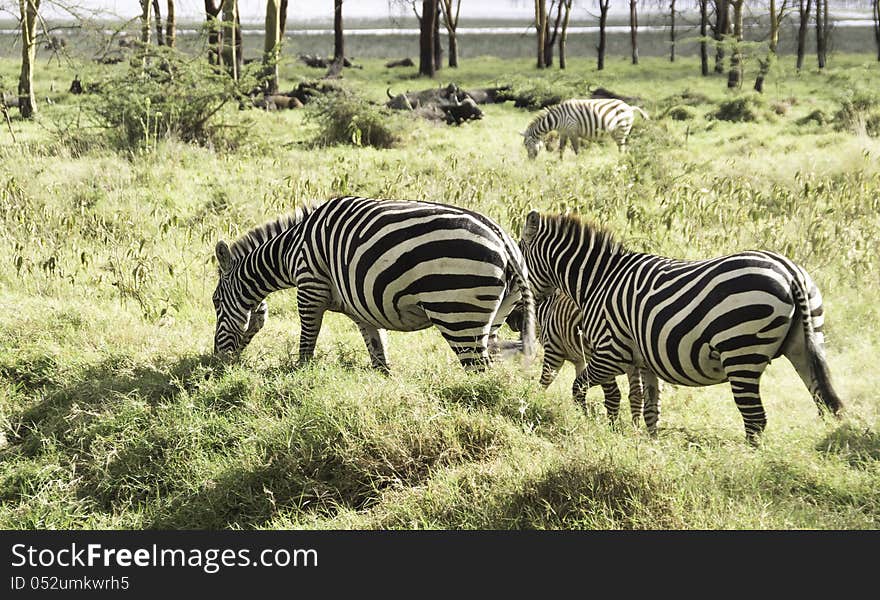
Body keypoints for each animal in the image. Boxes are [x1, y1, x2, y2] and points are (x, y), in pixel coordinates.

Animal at [211, 196, 536, 370]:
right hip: (495, 315)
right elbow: (378, 355)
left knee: (479, 370)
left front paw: (300, 378)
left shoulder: (310, 288)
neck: (290, 250)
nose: (218, 360)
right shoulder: (362, 308)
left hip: (457, 312)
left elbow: (306, 343)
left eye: (215, 302)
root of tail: (503, 240)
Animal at [506, 290, 644, 426]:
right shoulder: (580, 360)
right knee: (636, 394)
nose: (508, 320)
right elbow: (580, 387)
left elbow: (544, 382)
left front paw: (534, 400)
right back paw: (635, 429)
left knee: (615, 394)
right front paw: (580, 415)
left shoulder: (554, 351)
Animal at [520, 98, 648, 159]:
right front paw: (559, 162)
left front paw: (579, 162)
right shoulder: (564, 132)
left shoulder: (572, 130)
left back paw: (619, 161)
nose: (530, 160)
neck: (557, 119)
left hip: (622, 129)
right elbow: (561, 148)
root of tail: (629, 107)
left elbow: (576, 149)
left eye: (526, 144)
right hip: (616, 132)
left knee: (622, 148)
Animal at [520, 211, 844, 446]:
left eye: (519, 257)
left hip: (741, 351)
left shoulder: (609, 353)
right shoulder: (642, 361)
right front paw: (649, 445)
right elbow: (649, 408)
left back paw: (751, 466)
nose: (520, 311)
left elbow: (583, 390)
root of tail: (789, 272)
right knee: (825, 404)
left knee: (755, 419)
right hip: (807, 342)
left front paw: (590, 423)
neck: (597, 280)